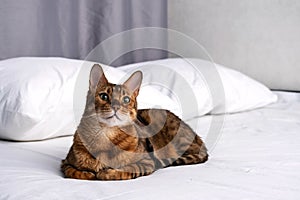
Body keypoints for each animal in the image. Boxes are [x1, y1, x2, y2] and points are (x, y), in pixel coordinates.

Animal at [61, 64, 206, 181]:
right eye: (103, 96)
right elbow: (73, 171)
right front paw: (88, 173)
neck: (106, 136)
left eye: (126, 99)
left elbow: (129, 169)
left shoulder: (147, 161)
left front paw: (107, 173)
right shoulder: (65, 162)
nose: (116, 107)